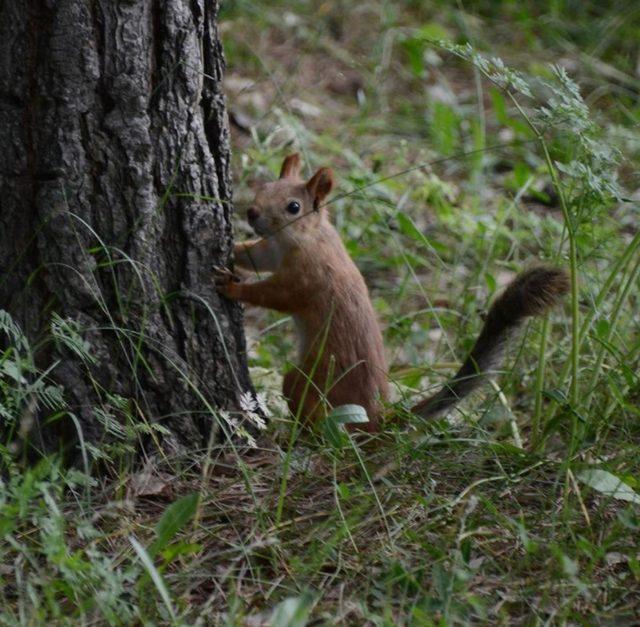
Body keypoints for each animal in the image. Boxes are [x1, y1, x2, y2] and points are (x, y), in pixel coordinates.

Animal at [216, 155, 568, 434]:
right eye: (264, 188)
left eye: (294, 207)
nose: (252, 213)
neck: (304, 238)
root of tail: (377, 419)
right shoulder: (273, 251)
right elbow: (257, 255)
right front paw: (234, 251)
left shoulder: (306, 278)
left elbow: (275, 295)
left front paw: (232, 287)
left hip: (313, 381)